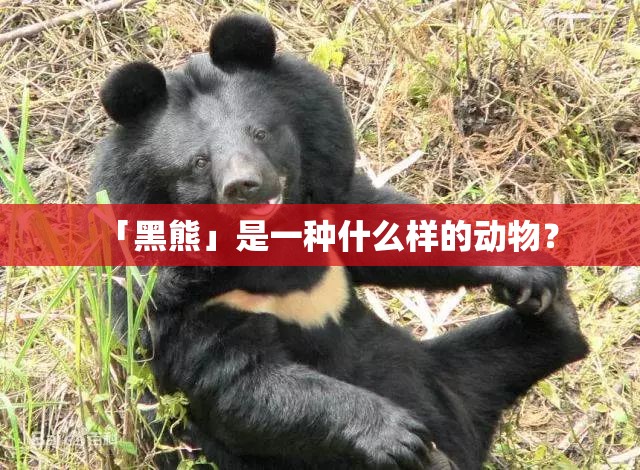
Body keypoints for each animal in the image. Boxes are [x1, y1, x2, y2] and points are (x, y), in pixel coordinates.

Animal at [90, 13, 589, 470]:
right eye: (199, 162)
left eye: (260, 132)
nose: (243, 186)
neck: (269, 246)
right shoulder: (178, 300)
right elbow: (243, 382)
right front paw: (399, 436)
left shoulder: (328, 201)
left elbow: (389, 227)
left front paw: (527, 268)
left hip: (448, 376)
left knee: (501, 357)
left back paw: (555, 315)